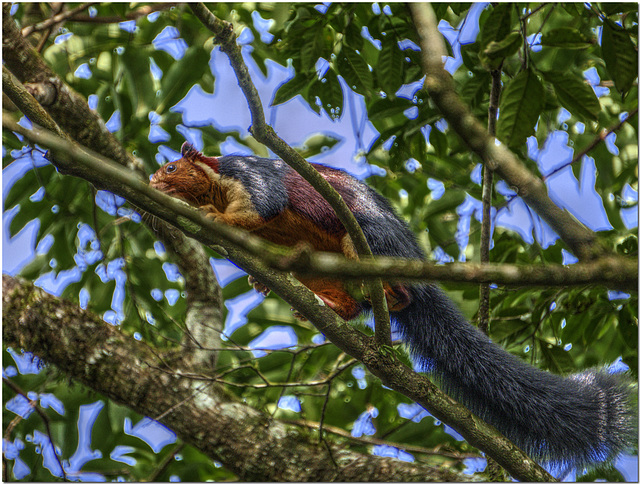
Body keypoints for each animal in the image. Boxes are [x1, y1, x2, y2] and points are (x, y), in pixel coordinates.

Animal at [150, 142, 636, 470]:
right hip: (324, 265)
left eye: (171, 166)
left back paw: (392, 293)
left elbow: (262, 207)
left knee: (386, 280)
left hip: (367, 237)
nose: (153, 183)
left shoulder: (249, 176)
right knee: (348, 302)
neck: (216, 185)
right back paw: (323, 302)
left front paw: (217, 219)